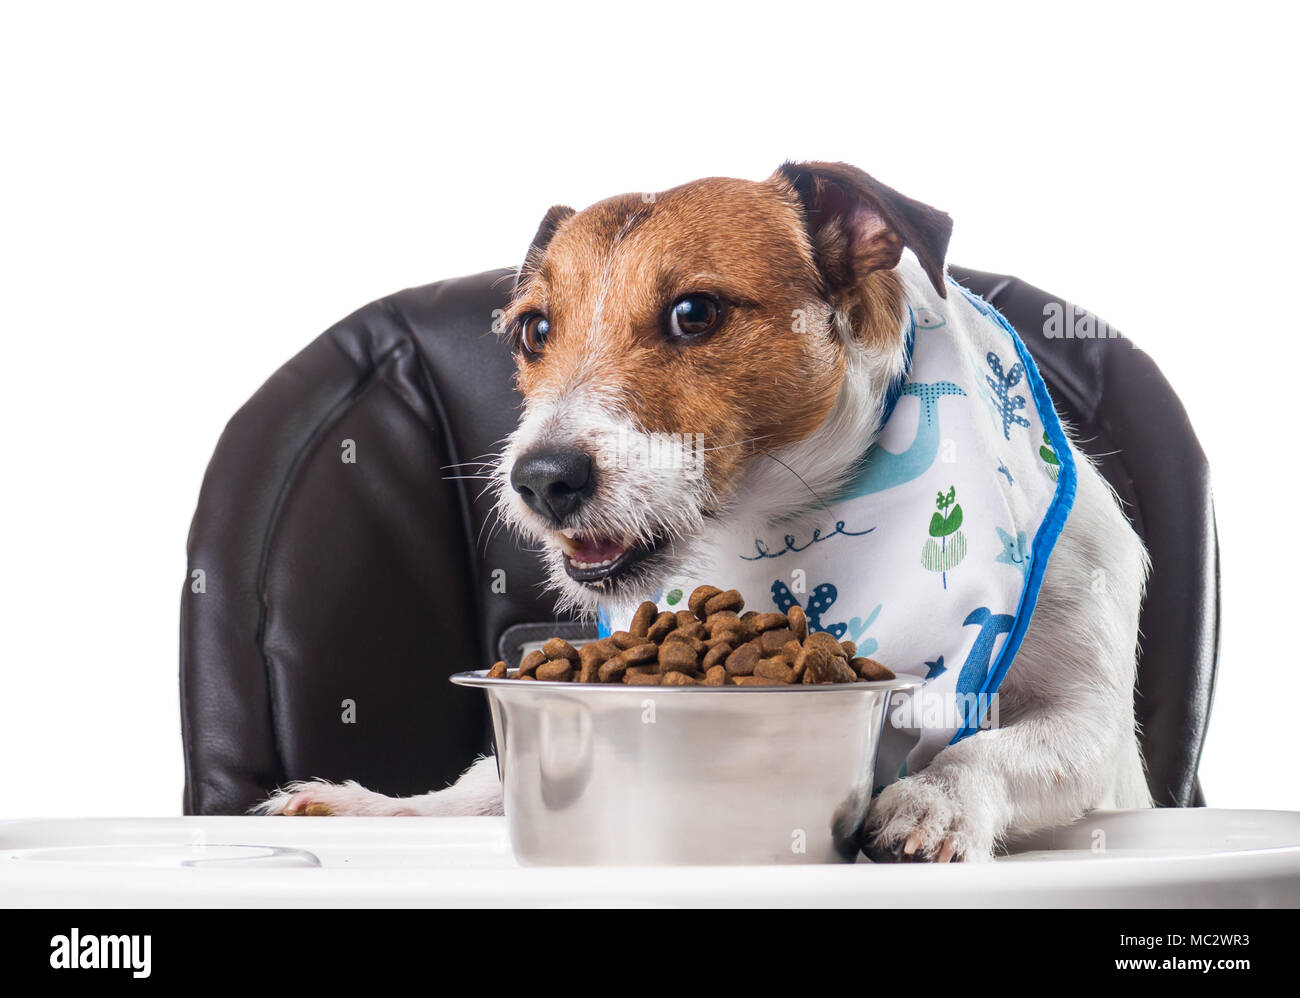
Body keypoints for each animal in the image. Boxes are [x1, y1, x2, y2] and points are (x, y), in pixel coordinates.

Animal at [258, 161, 1154, 857]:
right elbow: (483, 781)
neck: (785, 516)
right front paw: (379, 805)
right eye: (533, 330)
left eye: (694, 313)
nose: (540, 480)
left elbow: (996, 751)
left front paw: (934, 801)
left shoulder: (1095, 724)